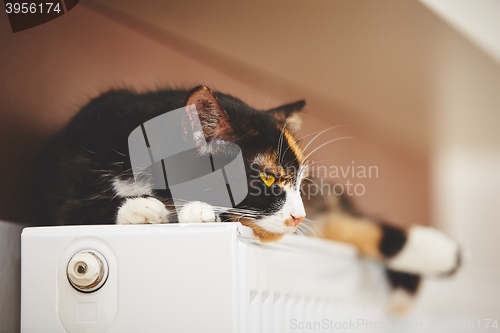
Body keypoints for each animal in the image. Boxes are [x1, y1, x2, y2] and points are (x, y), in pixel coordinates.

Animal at [36, 84, 460, 310]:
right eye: (269, 177)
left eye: (300, 180)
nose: (298, 216)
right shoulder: (62, 184)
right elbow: (77, 207)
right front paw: (144, 207)